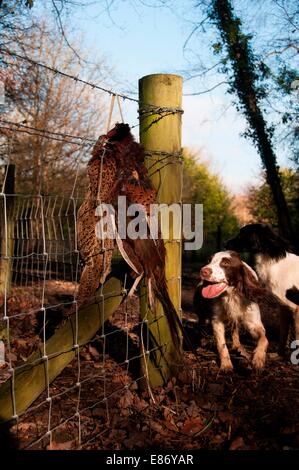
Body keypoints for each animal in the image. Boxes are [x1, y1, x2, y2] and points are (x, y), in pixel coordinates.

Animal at [227, 224, 299, 352]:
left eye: (242, 234)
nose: (226, 243)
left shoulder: (296, 308)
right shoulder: (284, 306)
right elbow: (283, 332)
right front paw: (280, 353)